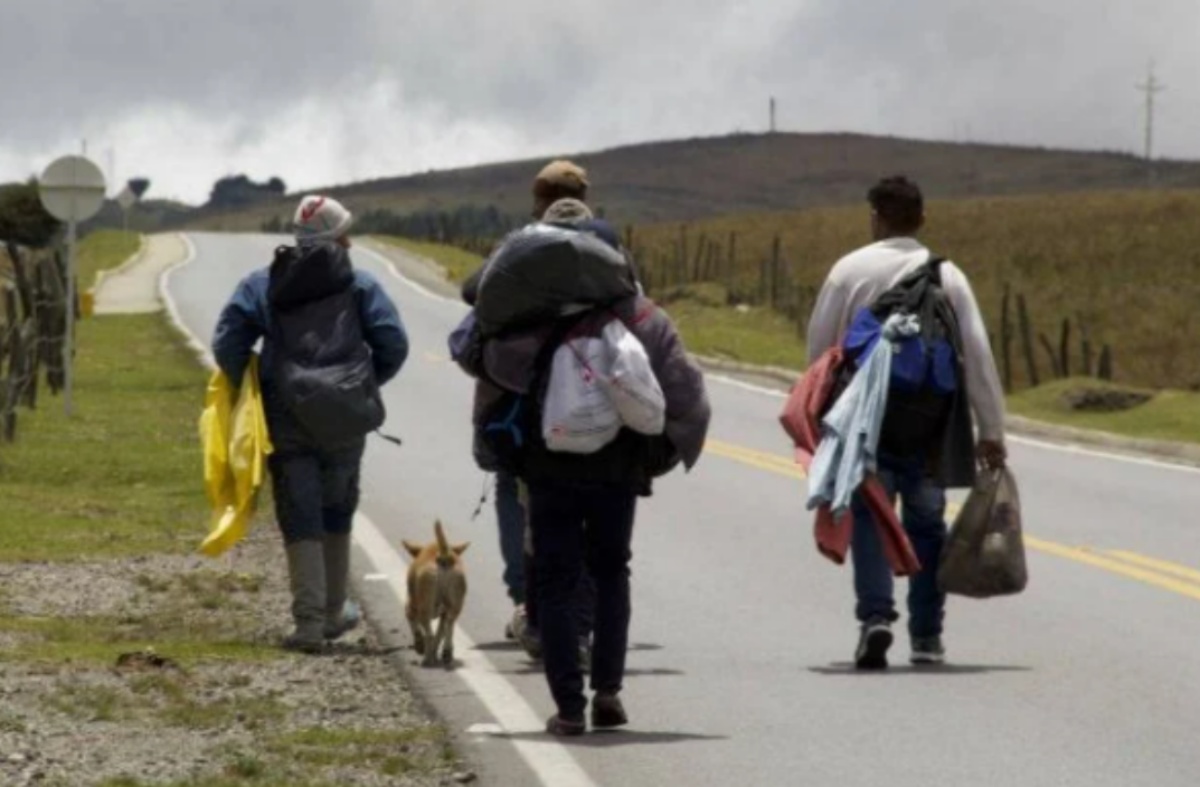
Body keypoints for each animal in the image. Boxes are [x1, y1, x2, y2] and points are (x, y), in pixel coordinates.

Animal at [403, 520, 468, 667]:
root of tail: (444, 554)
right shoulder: (443, 614)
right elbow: (440, 633)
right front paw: (434, 652)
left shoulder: (411, 607)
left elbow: (414, 626)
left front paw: (420, 646)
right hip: (455, 605)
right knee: (449, 627)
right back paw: (446, 653)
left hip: (423, 608)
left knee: (430, 634)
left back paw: (427, 659)